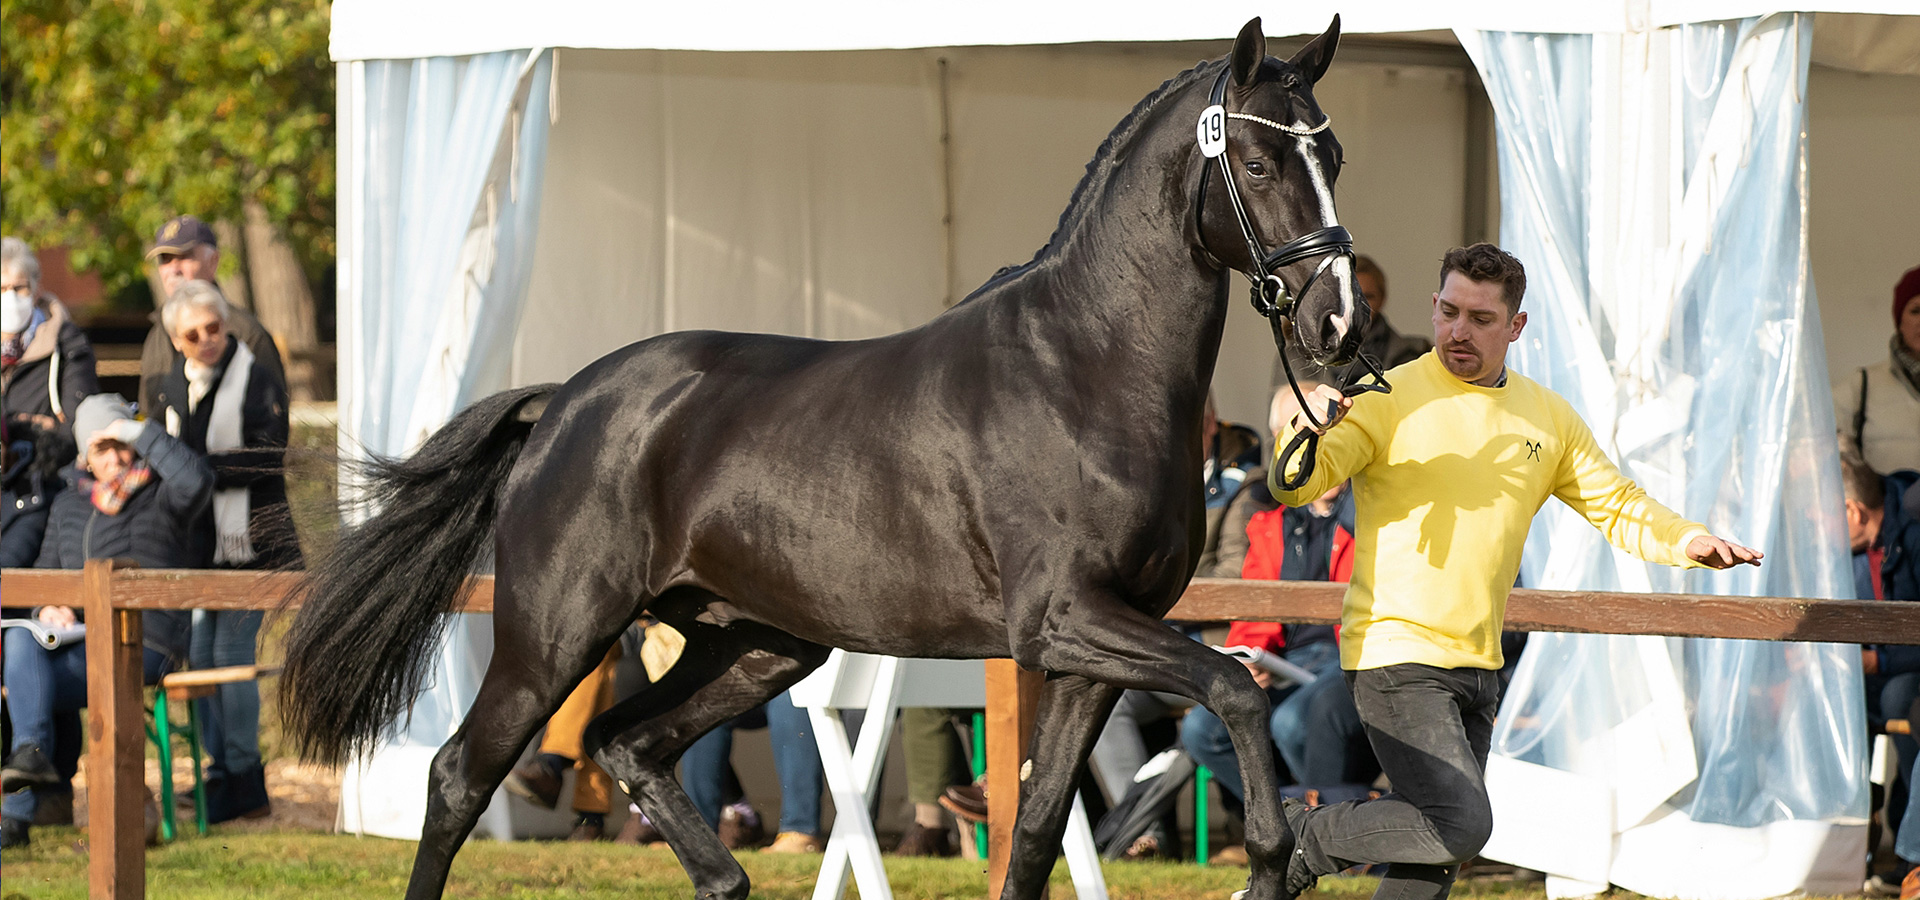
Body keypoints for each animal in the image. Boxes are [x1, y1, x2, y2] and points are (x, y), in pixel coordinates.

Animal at [280, 17, 1367, 898]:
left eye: (1336, 154)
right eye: (1260, 166)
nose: (1338, 321)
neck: (1085, 367)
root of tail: (568, 404)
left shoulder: (1095, 648)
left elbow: (1036, 832)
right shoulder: (1065, 621)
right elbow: (1235, 685)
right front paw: (1274, 858)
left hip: (756, 643)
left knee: (631, 746)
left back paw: (724, 879)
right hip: (553, 635)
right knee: (461, 777)